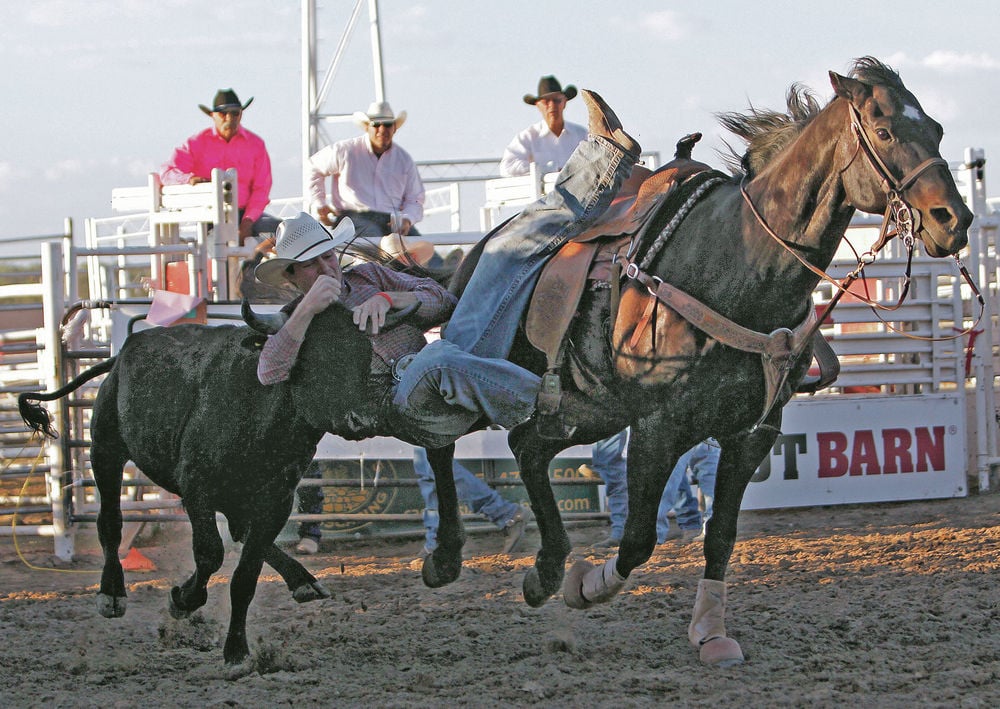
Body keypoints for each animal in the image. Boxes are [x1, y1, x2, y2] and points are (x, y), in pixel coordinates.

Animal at [426, 58, 972, 668]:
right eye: (883, 131)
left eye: (938, 130)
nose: (955, 219)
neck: (741, 262)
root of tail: (477, 250)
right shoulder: (658, 427)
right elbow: (639, 538)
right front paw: (586, 587)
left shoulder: (753, 432)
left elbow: (721, 535)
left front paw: (709, 630)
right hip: (490, 372)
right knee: (439, 434)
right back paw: (446, 558)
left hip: (586, 407)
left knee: (527, 448)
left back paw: (543, 571)